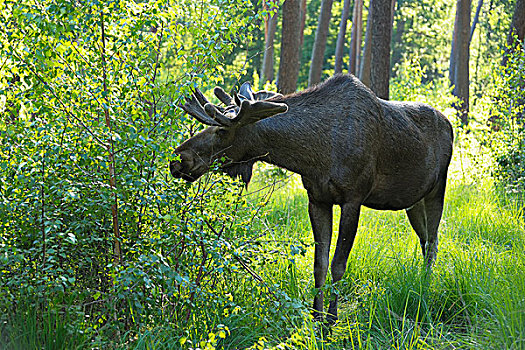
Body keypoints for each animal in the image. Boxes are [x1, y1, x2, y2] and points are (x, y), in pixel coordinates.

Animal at [170, 74, 452, 322]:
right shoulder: (317, 199)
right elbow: (320, 264)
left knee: (433, 242)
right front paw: (315, 317)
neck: (313, 154)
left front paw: (331, 320)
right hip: (413, 203)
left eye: (221, 131)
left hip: (437, 188)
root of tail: (450, 125)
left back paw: (426, 287)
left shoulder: (353, 198)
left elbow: (338, 265)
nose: (178, 159)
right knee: (426, 241)